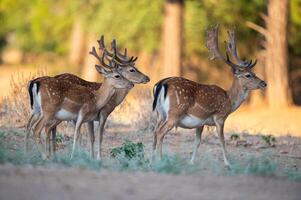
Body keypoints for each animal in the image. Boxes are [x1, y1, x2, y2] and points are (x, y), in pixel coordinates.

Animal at [152, 24, 264, 166]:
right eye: (248, 75)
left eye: (253, 73)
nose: (264, 83)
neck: (229, 100)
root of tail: (161, 83)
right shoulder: (220, 117)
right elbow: (222, 141)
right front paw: (228, 163)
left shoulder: (201, 122)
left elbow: (197, 142)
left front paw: (191, 162)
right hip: (175, 112)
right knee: (160, 132)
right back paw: (160, 160)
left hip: (159, 113)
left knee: (155, 131)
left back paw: (150, 159)